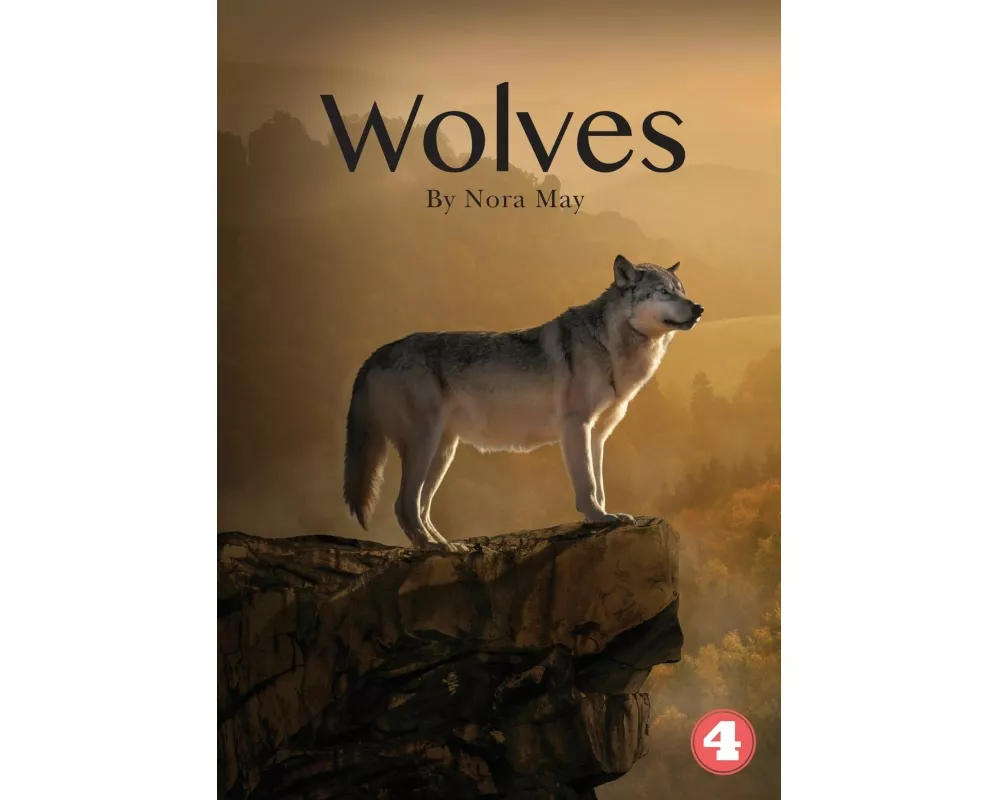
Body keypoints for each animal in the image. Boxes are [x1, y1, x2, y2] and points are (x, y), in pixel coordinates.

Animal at [343, 254, 704, 550]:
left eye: (682, 290)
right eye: (664, 292)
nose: (699, 308)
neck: (609, 346)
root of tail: (376, 354)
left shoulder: (598, 434)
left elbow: (599, 484)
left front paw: (605, 514)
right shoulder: (576, 426)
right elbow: (587, 483)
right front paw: (598, 517)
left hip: (443, 452)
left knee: (420, 506)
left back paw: (445, 544)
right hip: (425, 445)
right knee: (404, 505)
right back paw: (434, 548)